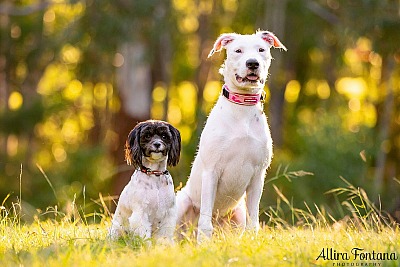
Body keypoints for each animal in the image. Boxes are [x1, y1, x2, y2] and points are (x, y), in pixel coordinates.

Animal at [177, 29, 286, 243]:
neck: (242, 108)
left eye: (261, 50)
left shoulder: (258, 175)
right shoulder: (211, 171)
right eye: (238, 50)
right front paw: (204, 244)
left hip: (238, 213)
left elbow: (254, 220)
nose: (252, 63)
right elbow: (205, 222)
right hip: (181, 202)